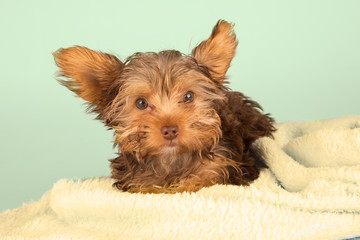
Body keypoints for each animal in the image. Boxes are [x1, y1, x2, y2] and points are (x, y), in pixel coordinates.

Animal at [53, 20, 274, 193]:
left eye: (188, 96)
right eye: (141, 103)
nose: (170, 130)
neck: (172, 159)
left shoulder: (225, 165)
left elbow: (205, 178)